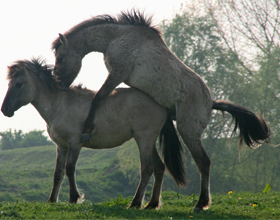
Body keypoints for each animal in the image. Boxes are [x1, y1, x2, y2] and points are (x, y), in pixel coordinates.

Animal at [2, 57, 187, 209]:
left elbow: (70, 169)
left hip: (144, 139)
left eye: (19, 84)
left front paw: (74, 197)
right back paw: (152, 204)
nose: (4, 109)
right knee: (159, 167)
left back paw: (135, 203)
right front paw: (52, 200)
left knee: (147, 169)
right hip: (148, 141)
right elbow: (58, 174)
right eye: (9, 84)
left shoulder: (74, 143)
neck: (59, 105)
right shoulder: (61, 146)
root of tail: (162, 105)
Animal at [51, 9, 270, 211]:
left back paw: (200, 204)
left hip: (188, 131)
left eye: (60, 58)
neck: (117, 37)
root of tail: (211, 102)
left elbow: (98, 98)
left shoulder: (117, 74)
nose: (59, 84)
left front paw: (88, 128)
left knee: (204, 163)